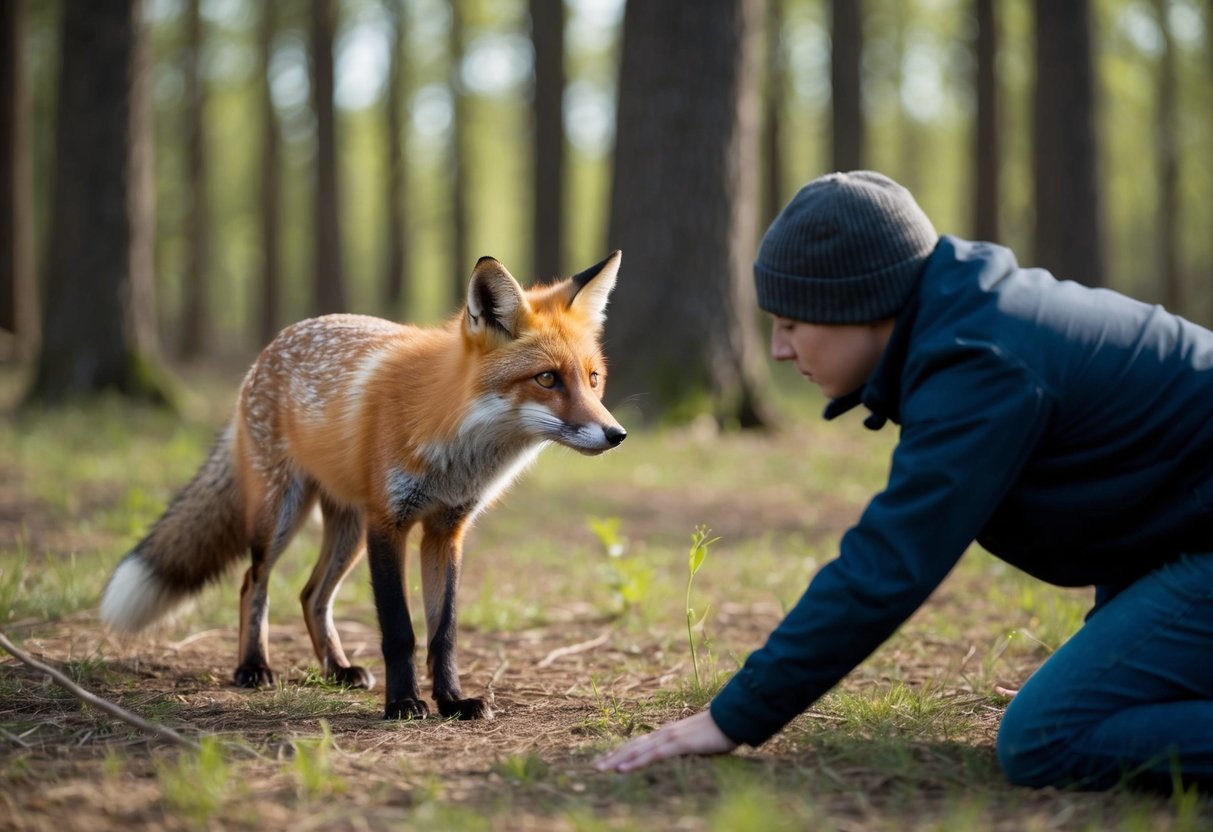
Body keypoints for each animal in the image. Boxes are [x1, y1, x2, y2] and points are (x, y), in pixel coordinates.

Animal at [100, 252, 626, 721]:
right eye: (547, 379)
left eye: (593, 379)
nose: (616, 435)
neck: (456, 445)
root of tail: (272, 347)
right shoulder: (389, 523)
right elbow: (399, 630)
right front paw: (403, 704)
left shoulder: (445, 530)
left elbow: (444, 631)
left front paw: (453, 701)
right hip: (282, 516)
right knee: (254, 583)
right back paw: (253, 667)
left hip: (348, 532)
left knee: (311, 596)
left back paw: (337, 669)